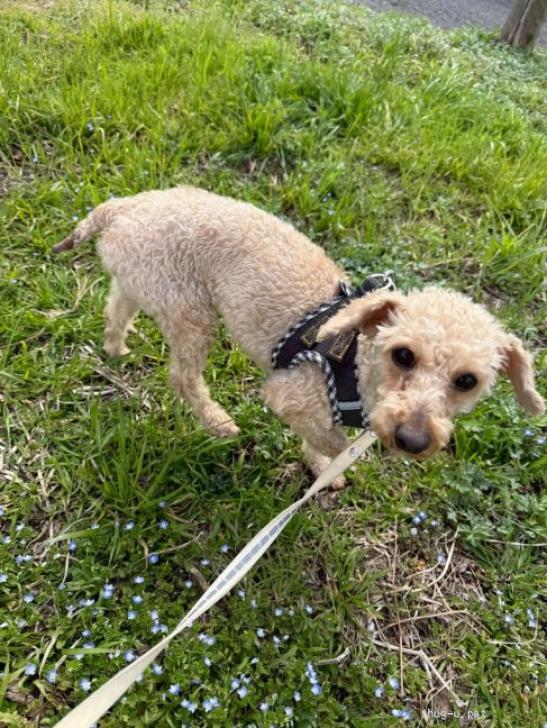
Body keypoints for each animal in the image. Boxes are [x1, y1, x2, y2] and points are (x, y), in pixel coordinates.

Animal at [53, 187, 544, 485]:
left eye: (467, 381)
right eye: (403, 355)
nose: (412, 440)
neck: (357, 361)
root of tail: (122, 207)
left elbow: (321, 442)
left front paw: (320, 468)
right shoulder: (290, 396)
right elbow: (332, 439)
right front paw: (331, 462)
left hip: (148, 283)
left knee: (117, 306)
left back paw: (116, 346)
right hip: (190, 311)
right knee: (183, 378)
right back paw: (218, 422)